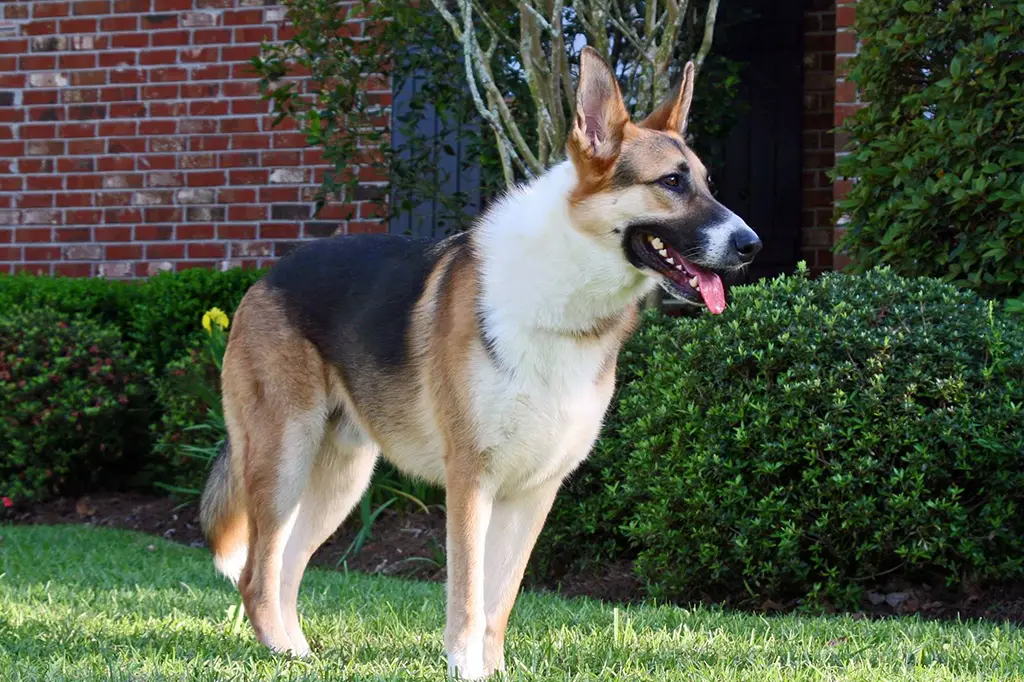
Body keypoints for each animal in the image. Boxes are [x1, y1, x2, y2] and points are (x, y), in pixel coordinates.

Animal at [199, 46, 761, 675]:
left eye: (707, 184)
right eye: (671, 182)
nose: (752, 245)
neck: (565, 292)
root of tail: (266, 278)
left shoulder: (534, 492)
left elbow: (499, 603)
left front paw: (491, 671)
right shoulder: (471, 482)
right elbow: (467, 596)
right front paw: (464, 669)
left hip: (340, 478)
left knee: (287, 565)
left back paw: (298, 655)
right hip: (284, 459)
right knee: (255, 573)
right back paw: (280, 650)